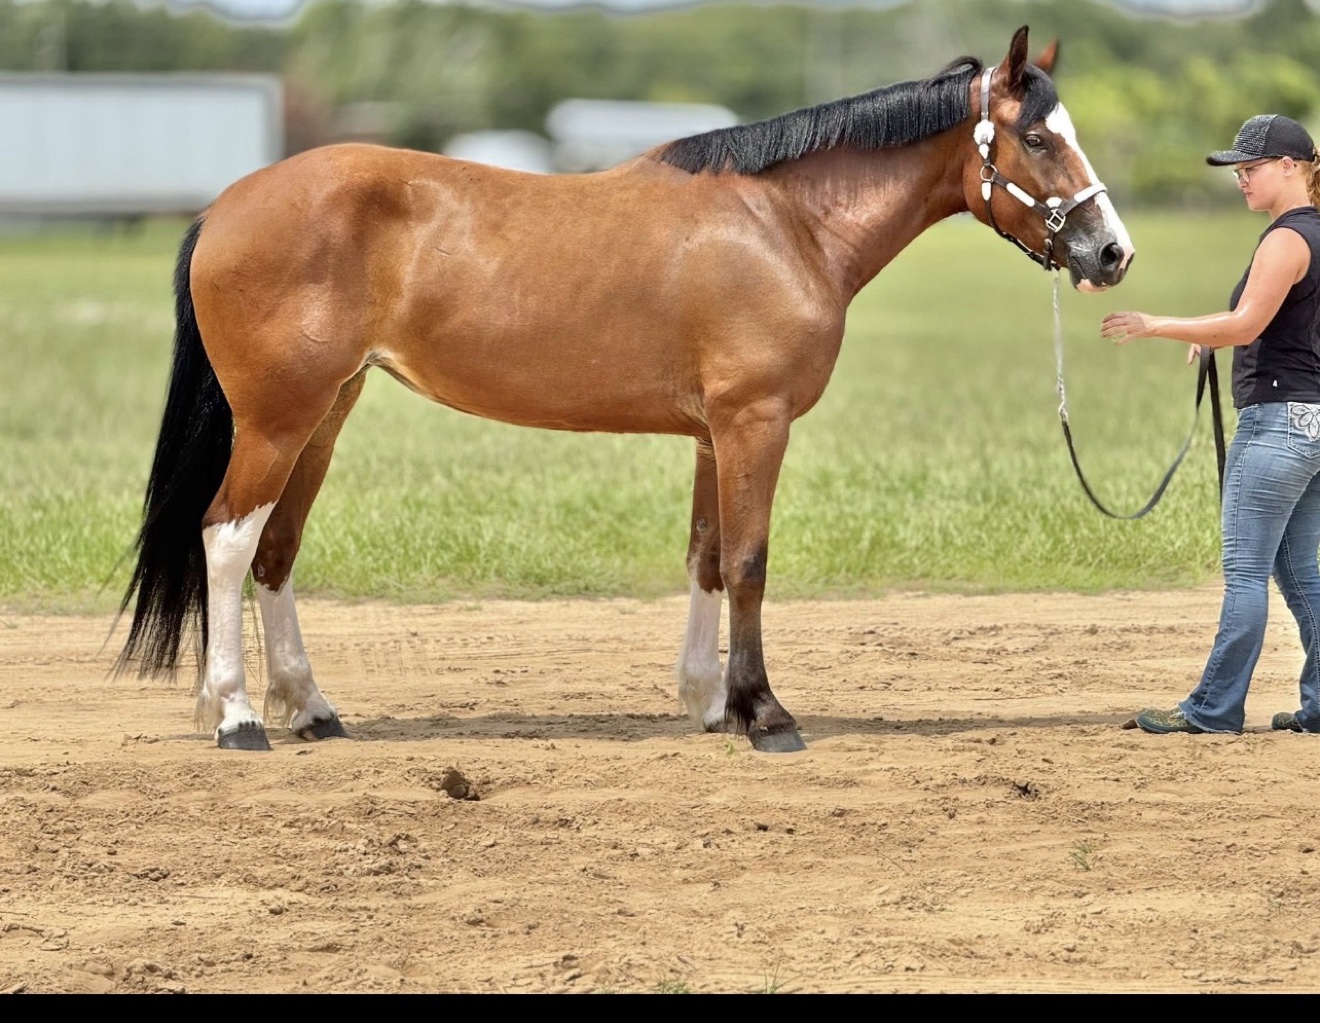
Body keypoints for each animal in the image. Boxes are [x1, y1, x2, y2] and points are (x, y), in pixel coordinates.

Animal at [116, 26, 1133, 753]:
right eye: (1037, 137)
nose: (1112, 253)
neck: (785, 223)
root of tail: (227, 206)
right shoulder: (755, 422)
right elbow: (750, 561)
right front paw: (766, 714)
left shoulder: (713, 433)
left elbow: (706, 557)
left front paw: (709, 703)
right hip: (277, 419)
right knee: (226, 536)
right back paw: (237, 716)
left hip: (323, 416)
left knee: (275, 550)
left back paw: (311, 708)